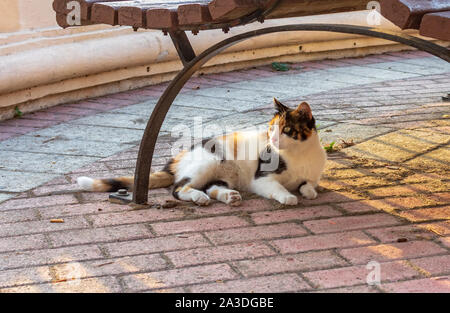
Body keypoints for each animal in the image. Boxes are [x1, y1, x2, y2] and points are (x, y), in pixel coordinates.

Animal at [78, 97, 326, 205]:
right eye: (271, 128)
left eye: (286, 130)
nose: (272, 139)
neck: (300, 155)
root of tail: (177, 158)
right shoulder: (262, 177)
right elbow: (276, 187)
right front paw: (288, 197)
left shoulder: (312, 175)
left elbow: (309, 184)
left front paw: (307, 191)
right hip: (208, 163)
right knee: (179, 188)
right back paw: (198, 197)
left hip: (223, 174)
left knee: (212, 186)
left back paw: (228, 196)